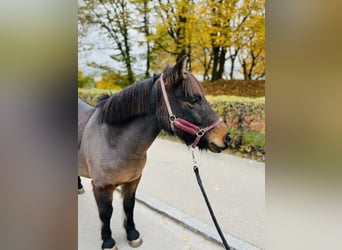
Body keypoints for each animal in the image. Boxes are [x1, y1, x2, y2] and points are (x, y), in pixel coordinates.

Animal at [78, 57, 230, 250]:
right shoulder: (101, 187)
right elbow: (106, 213)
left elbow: (129, 205)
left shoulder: (133, 180)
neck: (114, 139)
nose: (226, 137)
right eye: (191, 100)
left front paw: (132, 234)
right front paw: (108, 241)